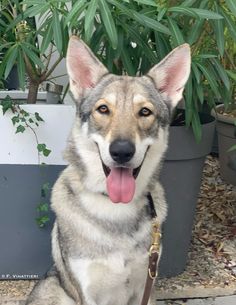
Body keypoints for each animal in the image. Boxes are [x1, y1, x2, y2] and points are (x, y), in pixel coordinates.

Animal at [25, 36, 190, 304]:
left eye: (145, 112)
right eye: (103, 109)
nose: (121, 151)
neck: (115, 209)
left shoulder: (145, 285)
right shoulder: (88, 292)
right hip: (54, 290)